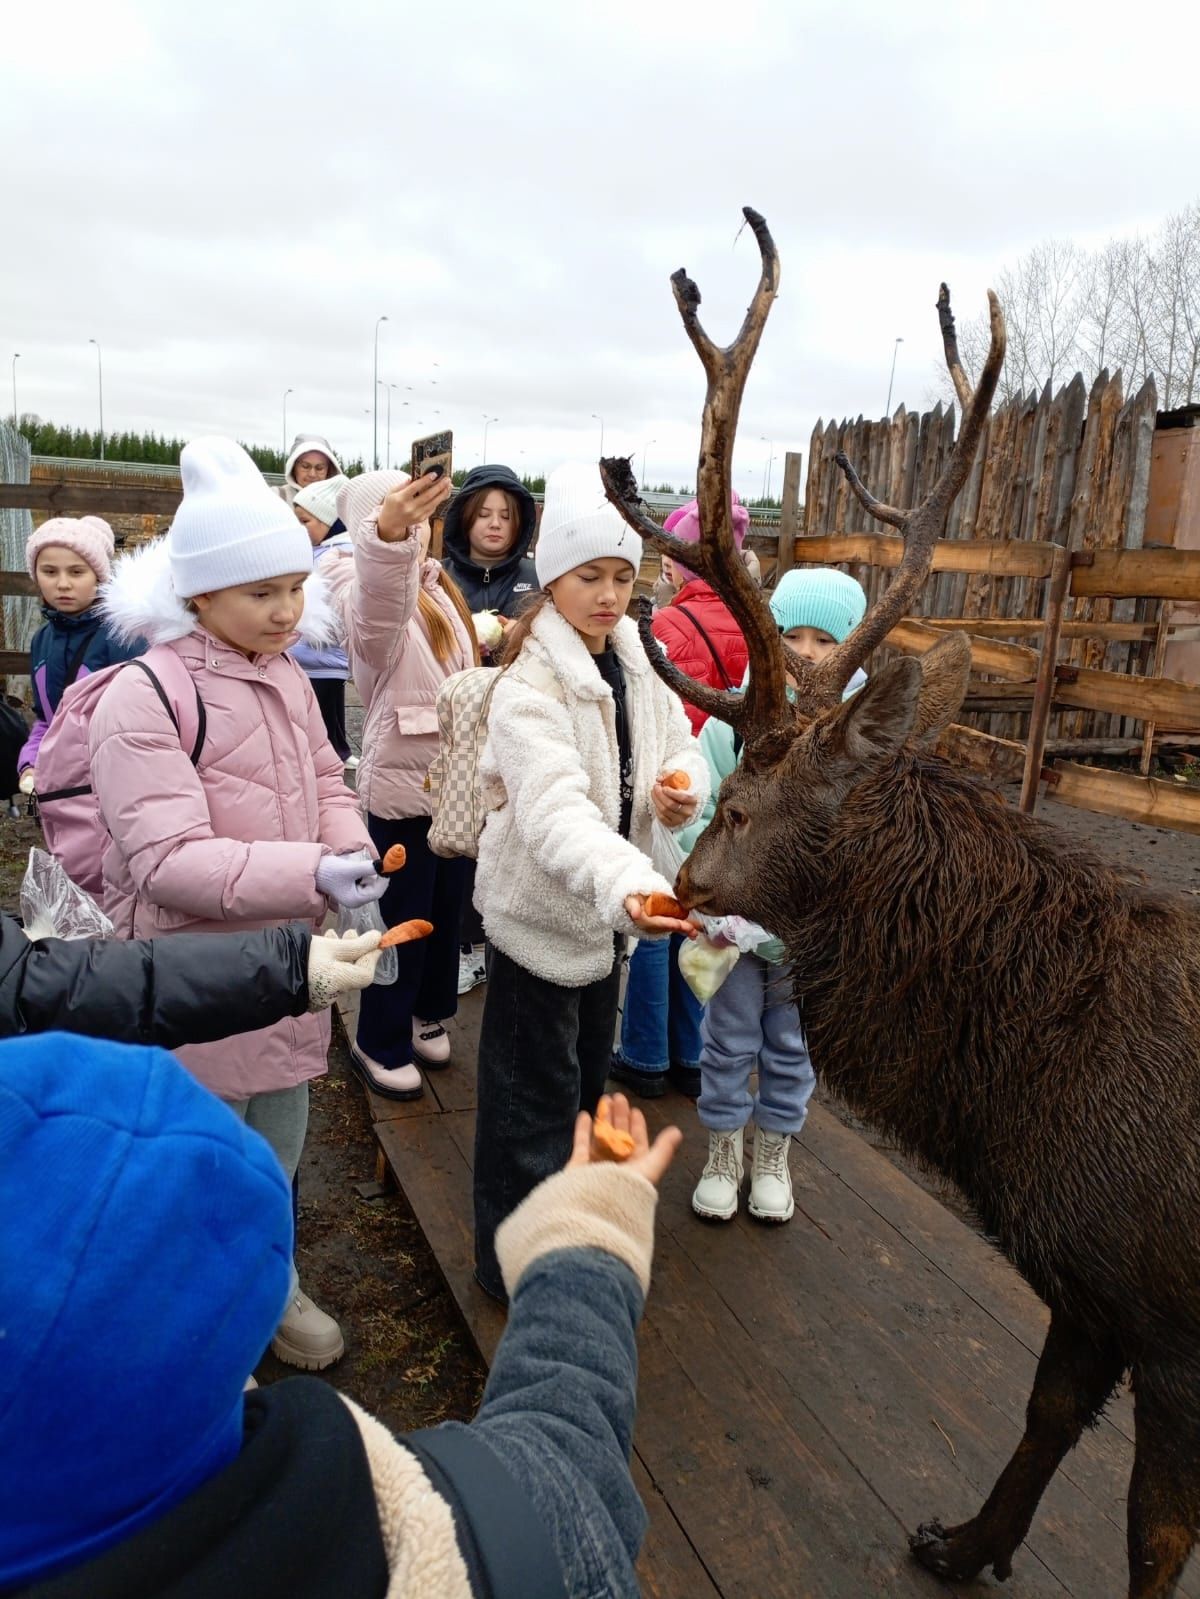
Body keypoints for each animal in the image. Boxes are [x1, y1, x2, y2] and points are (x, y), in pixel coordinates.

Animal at [601, 206, 1200, 1592]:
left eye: (742, 807)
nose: (683, 887)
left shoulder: (1173, 1319)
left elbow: (1155, 1531)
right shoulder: (1094, 1283)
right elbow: (1045, 1414)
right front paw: (964, 1541)